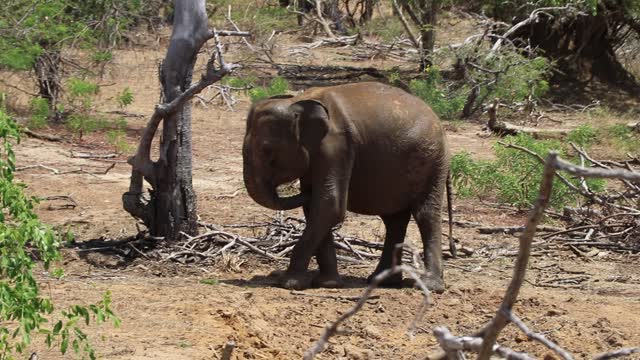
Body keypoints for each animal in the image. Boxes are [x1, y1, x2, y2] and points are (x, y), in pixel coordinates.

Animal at [242, 81, 452, 292]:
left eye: (267, 151)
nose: (306, 190)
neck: (298, 101)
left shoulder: (336, 147)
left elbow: (330, 205)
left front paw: (288, 283)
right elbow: (316, 209)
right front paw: (327, 283)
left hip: (432, 160)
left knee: (425, 215)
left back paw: (428, 285)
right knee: (394, 220)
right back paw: (383, 281)